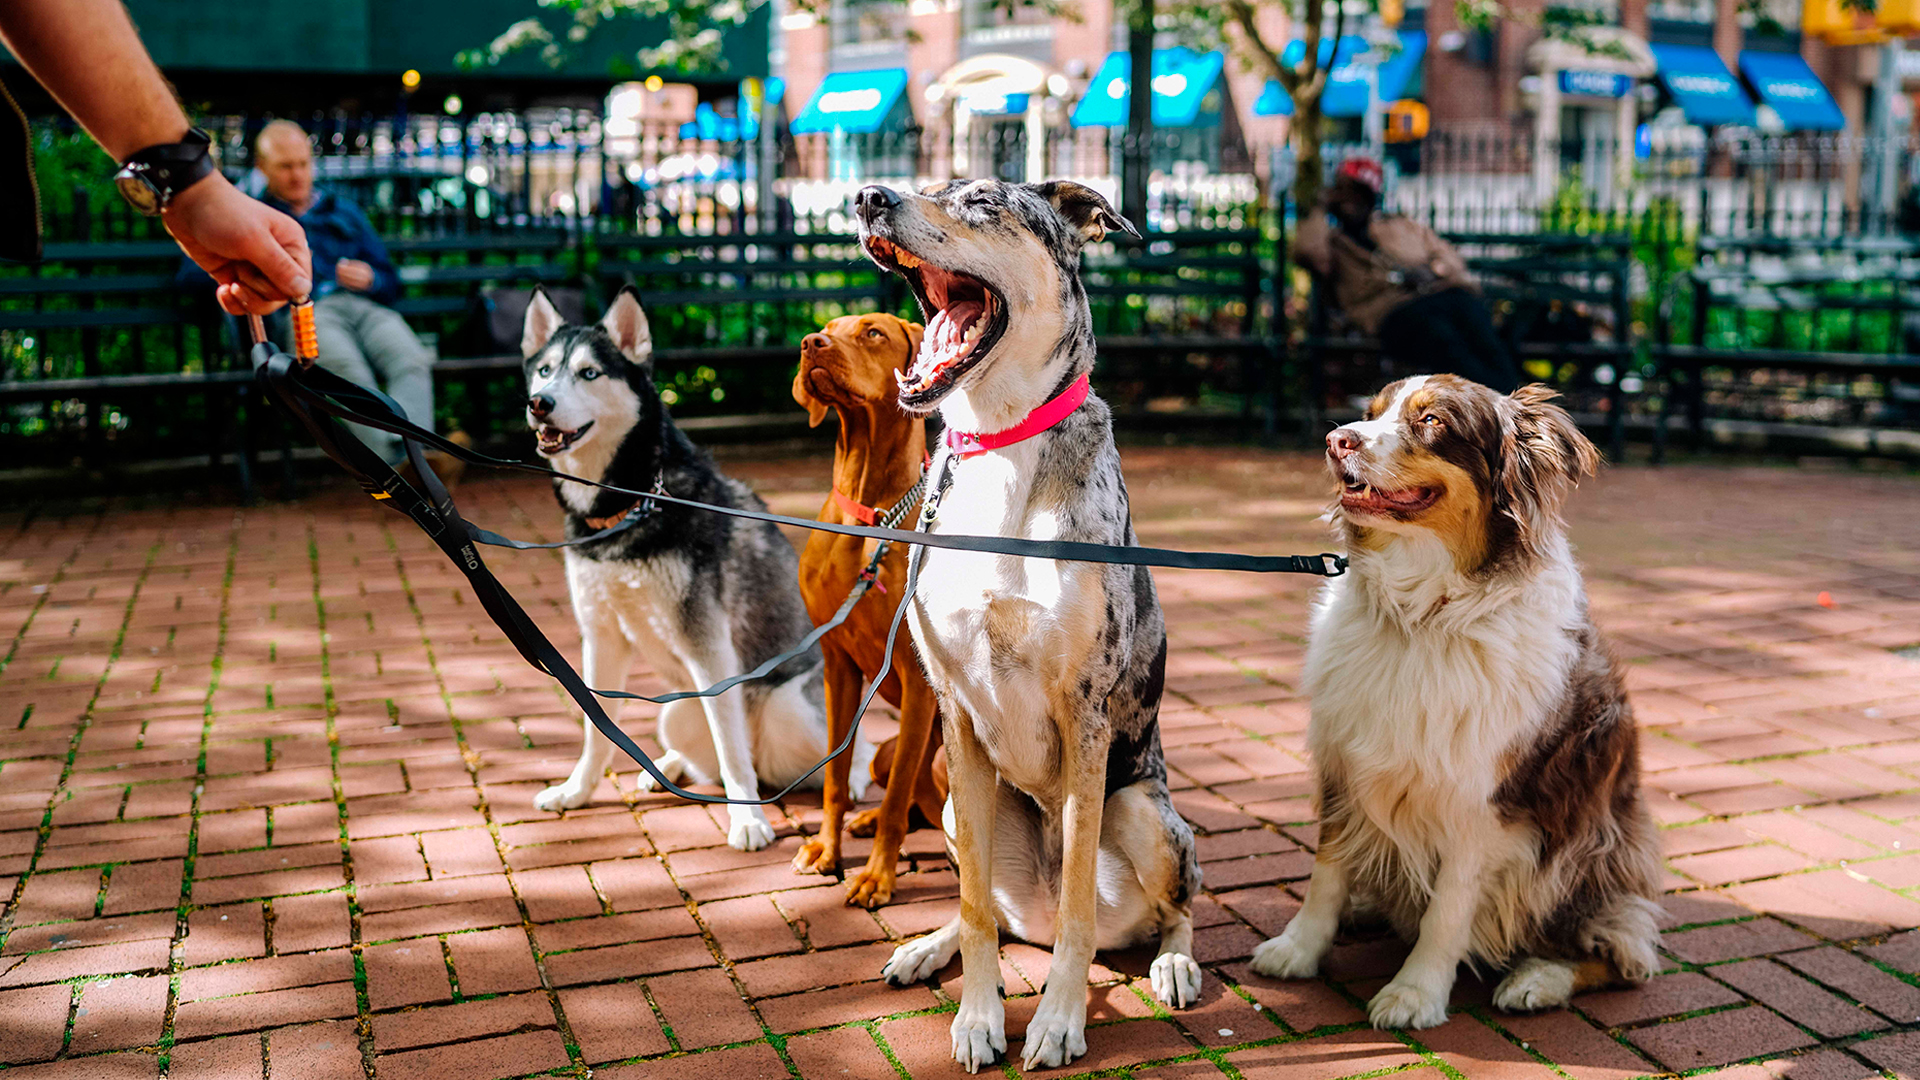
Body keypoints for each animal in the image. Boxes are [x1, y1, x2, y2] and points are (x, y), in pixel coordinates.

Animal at [514, 286, 867, 849]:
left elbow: (730, 743)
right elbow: (596, 730)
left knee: (848, 748)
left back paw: (846, 779)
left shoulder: (709, 645)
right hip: (677, 712)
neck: (631, 503)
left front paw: (748, 821)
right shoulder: (601, 637)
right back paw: (671, 767)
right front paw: (577, 791)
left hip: (787, 708)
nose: (539, 403)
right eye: (545, 370)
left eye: (590, 373)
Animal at [791, 311, 948, 899]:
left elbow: (900, 794)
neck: (870, 514)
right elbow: (836, 778)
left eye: (873, 332)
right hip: (882, 751)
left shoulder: (918, 680)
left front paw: (878, 876)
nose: (811, 344)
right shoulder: (837, 663)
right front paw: (826, 849)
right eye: (827, 327)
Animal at [860, 182, 1198, 1068]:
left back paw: (1174, 964)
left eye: (981, 200)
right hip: (952, 805)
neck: (999, 441)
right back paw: (927, 947)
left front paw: (1057, 1021)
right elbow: (977, 908)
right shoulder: (955, 713)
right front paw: (979, 1017)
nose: (870, 196)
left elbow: (1079, 907)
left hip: (1145, 813)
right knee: (997, 910)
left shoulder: (1085, 716)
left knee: (1172, 907)